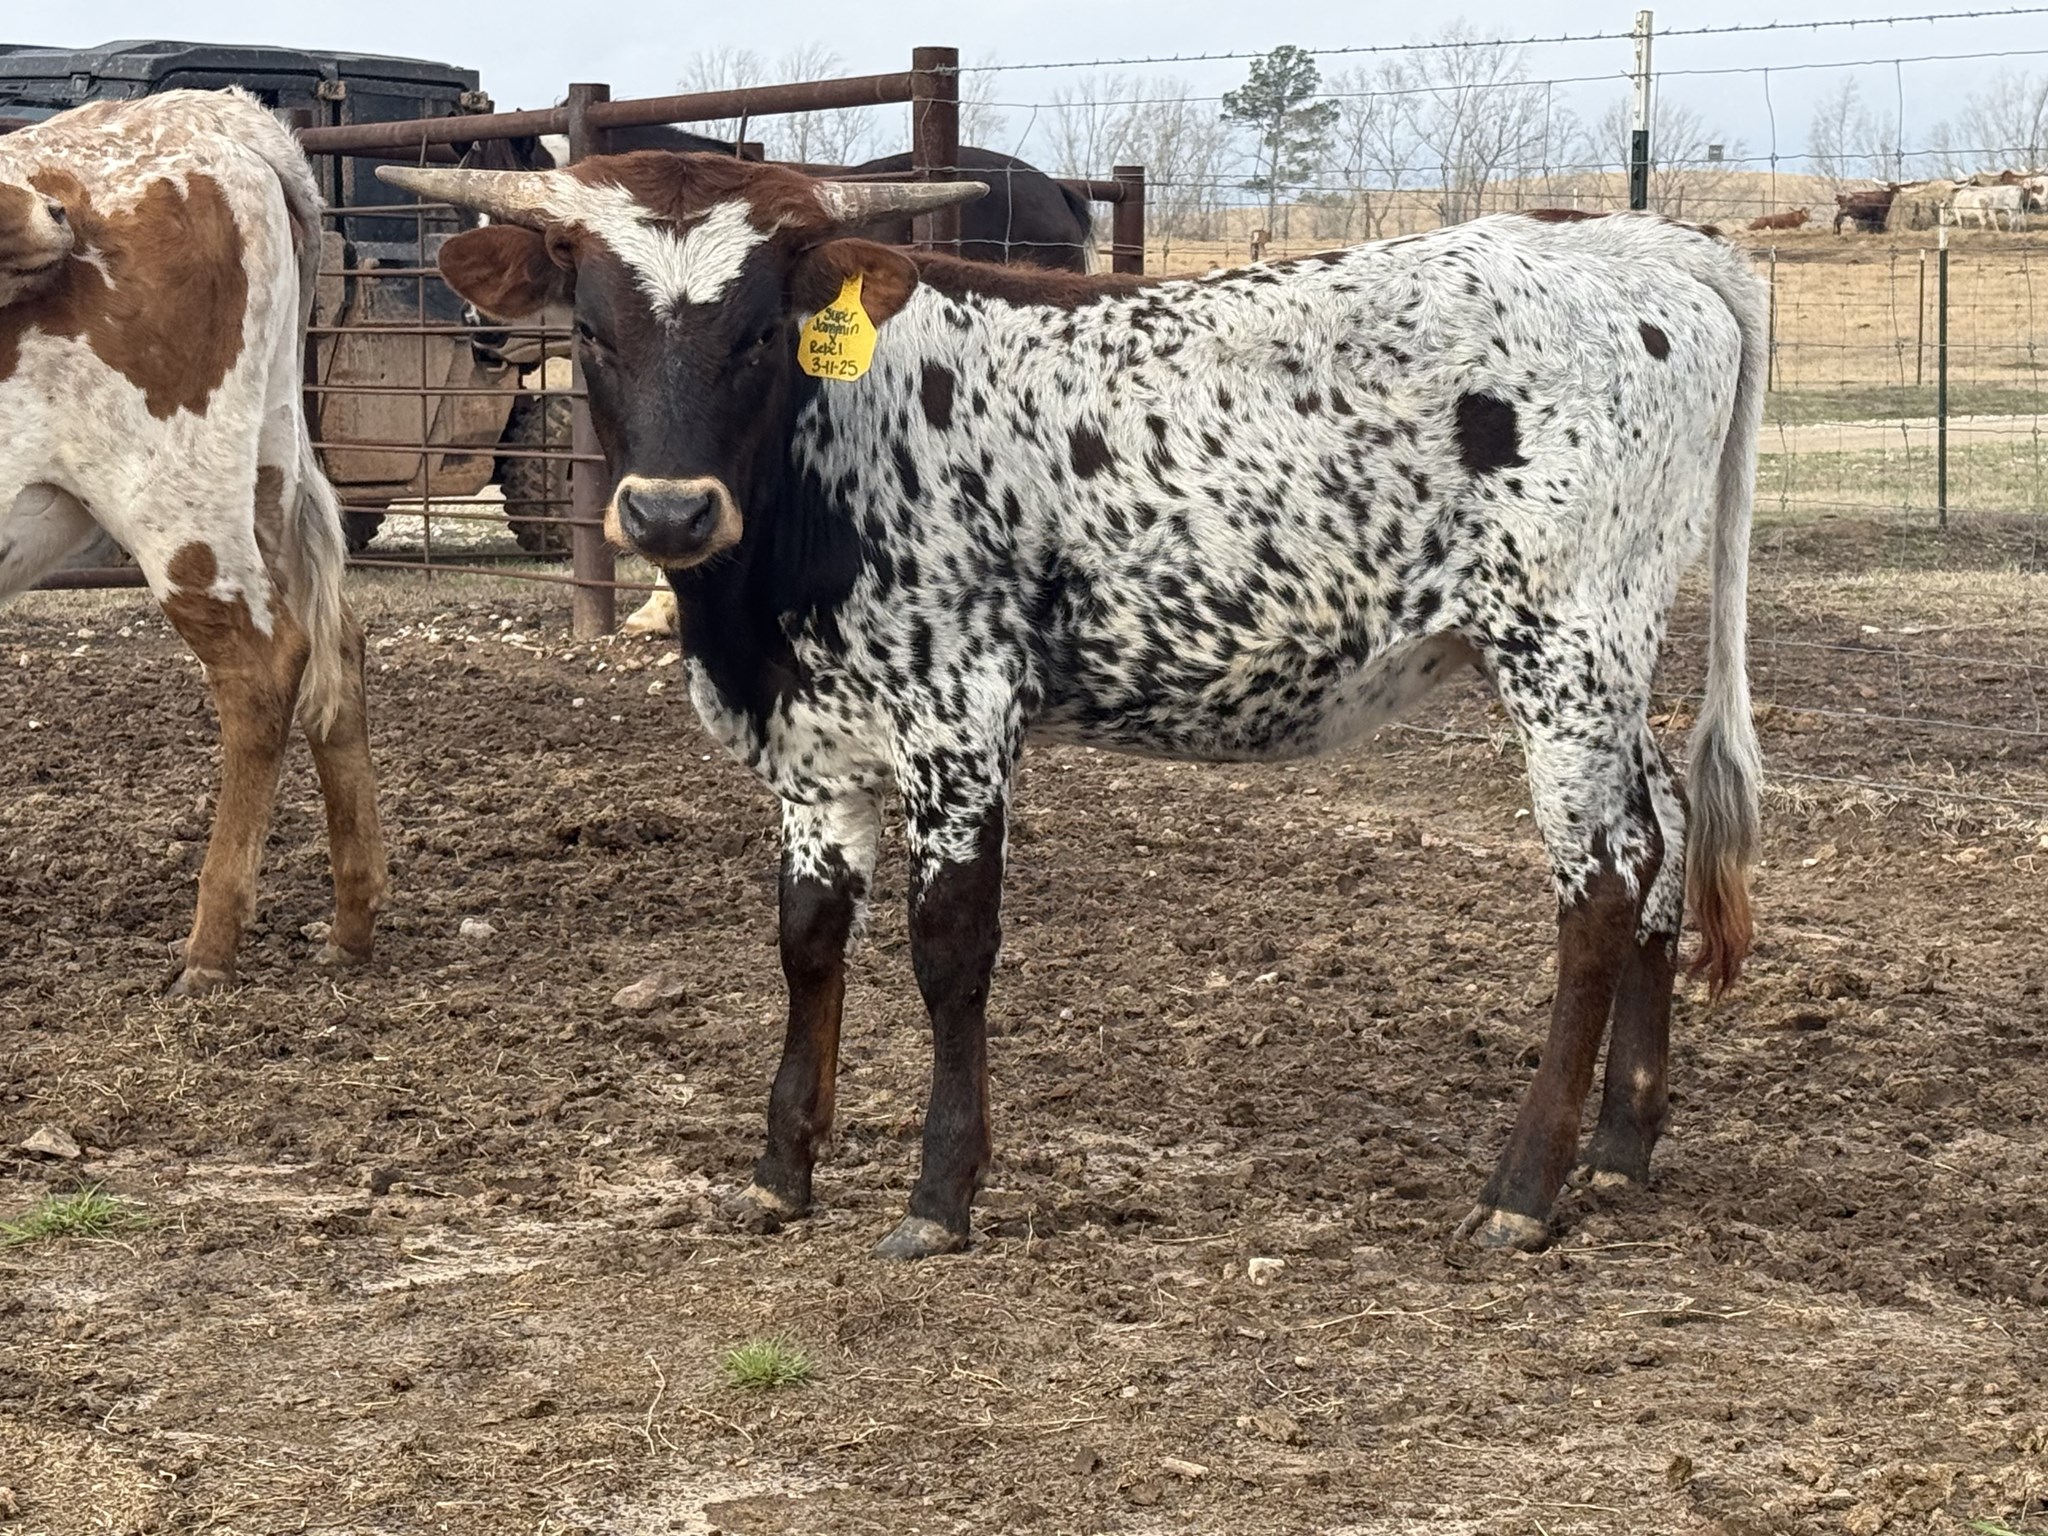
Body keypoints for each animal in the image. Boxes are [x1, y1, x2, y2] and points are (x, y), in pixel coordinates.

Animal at [2, 90, 386, 994]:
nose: (51, 217)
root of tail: (212, 112)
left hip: (177, 505)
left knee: (262, 669)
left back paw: (209, 950)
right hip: (270, 472)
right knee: (337, 653)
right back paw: (351, 926)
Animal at [383, 154, 1765, 1262]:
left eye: (759, 333)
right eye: (593, 330)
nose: (669, 513)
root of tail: (1633, 242)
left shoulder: (956, 718)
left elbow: (947, 945)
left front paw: (939, 1198)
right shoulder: (812, 750)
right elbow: (807, 939)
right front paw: (780, 1173)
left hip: (1562, 642)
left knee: (1599, 883)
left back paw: (1523, 1190)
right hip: (1603, 664)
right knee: (1658, 843)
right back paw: (1620, 1148)